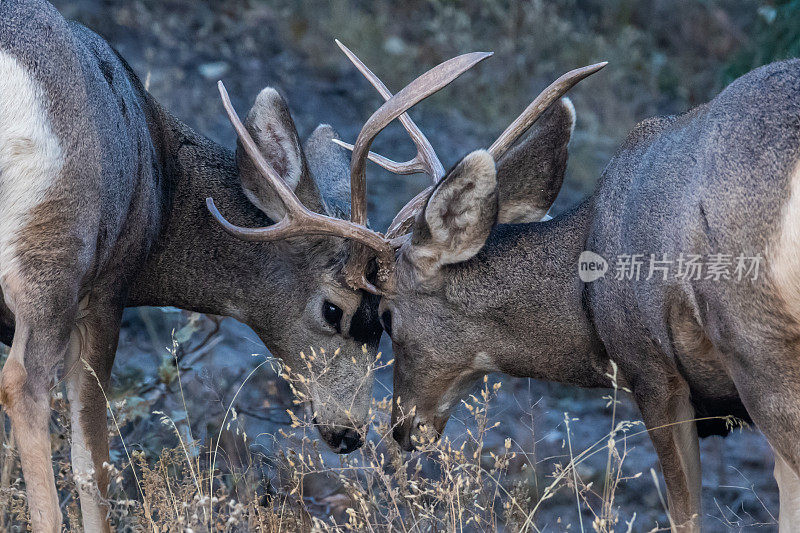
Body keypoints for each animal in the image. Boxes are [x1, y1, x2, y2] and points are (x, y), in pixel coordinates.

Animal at [0, 1, 490, 532]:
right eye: (333, 310)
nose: (350, 433)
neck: (162, 187)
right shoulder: (108, 291)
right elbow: (93, 464)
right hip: (57, 250)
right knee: (24, 385)